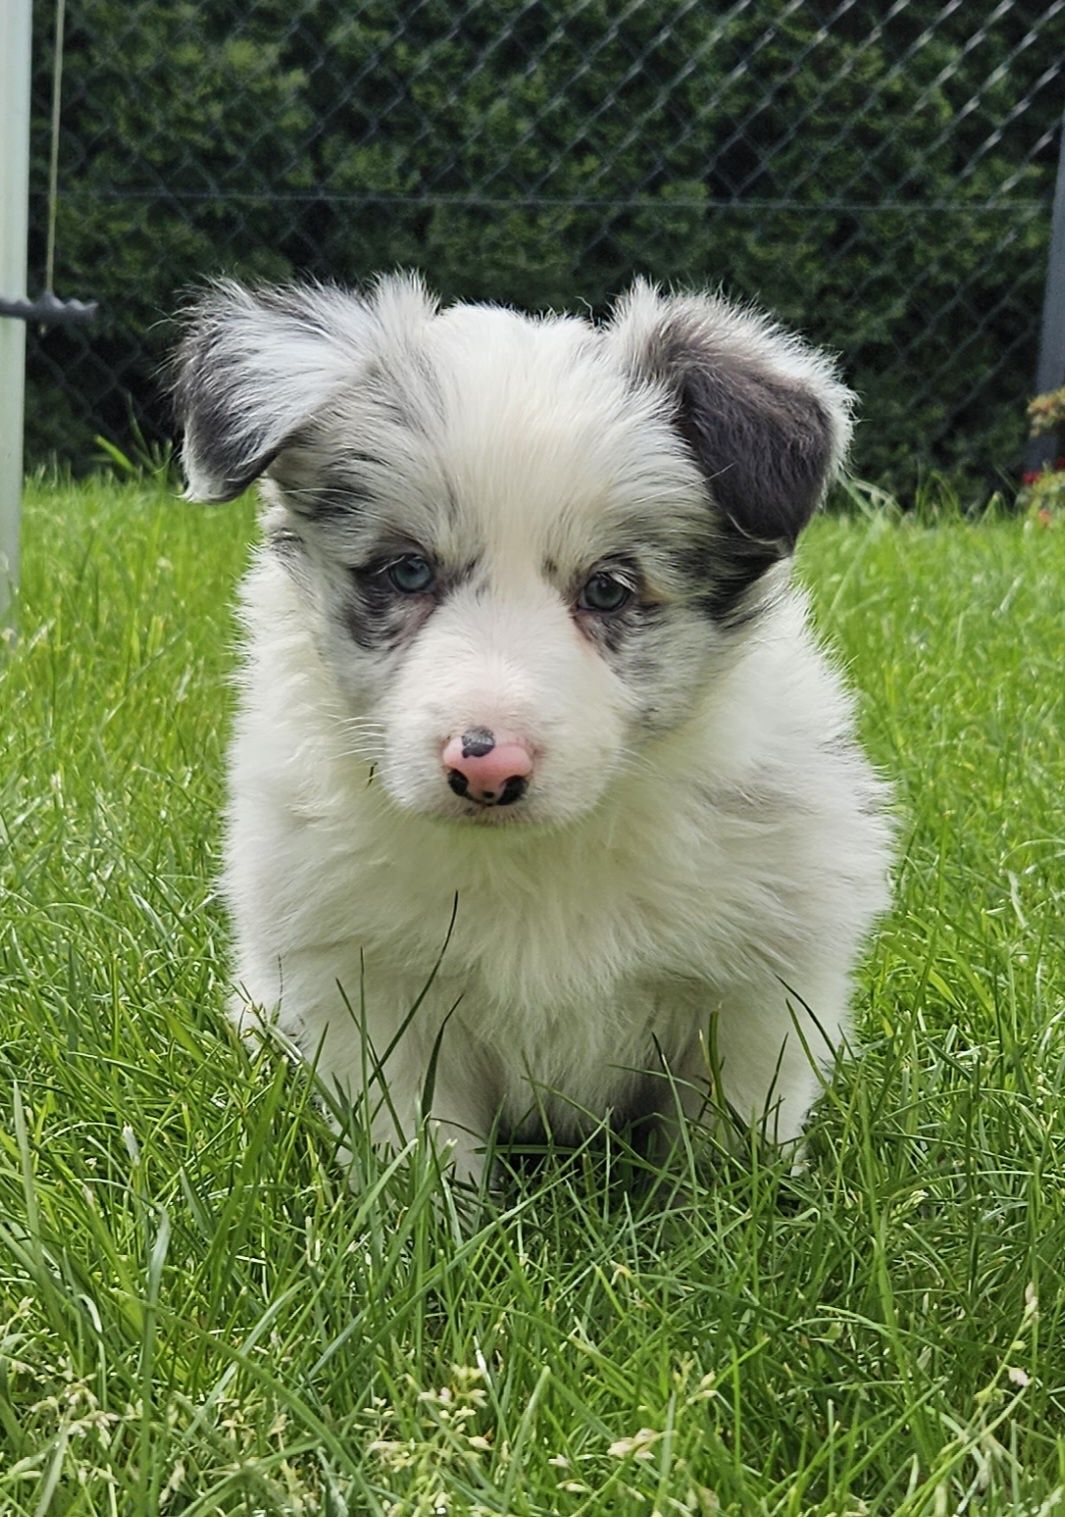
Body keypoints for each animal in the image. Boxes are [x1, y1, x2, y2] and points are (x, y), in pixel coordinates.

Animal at [172, 276, 892, 1183]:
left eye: (609, 588)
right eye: (407, 569)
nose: (486, 768)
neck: (539, 855)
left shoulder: (758, 988)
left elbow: (723, 1144)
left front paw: (725, 1212)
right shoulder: (372, 992)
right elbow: (421, 1147)